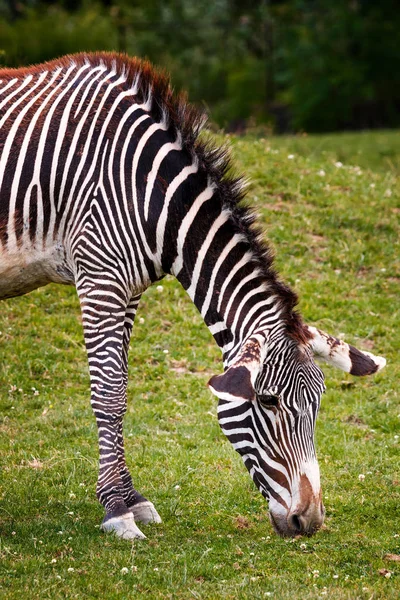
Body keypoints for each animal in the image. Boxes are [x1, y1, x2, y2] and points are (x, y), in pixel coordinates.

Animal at [0, 52, 386, 540]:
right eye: (269, 402)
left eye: (317, 403)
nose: (310, 522)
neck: (151, 192)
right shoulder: (99, 276)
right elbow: (107, 393)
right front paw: (116, 510)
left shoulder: (129, 288)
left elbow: (122, 388)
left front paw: (132, 498)